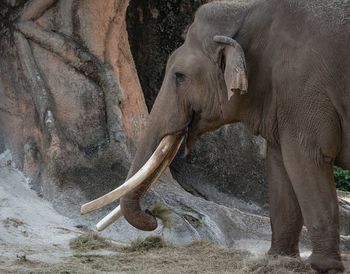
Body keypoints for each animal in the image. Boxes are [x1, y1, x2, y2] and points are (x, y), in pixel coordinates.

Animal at [82, 1, 350, 272]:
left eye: (179, 76)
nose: (152, 213)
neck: (246, 12)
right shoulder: (282, 99)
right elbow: (279, 165)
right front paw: (278, 260)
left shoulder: (302, 90)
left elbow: (305, 159)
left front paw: (324, 267)